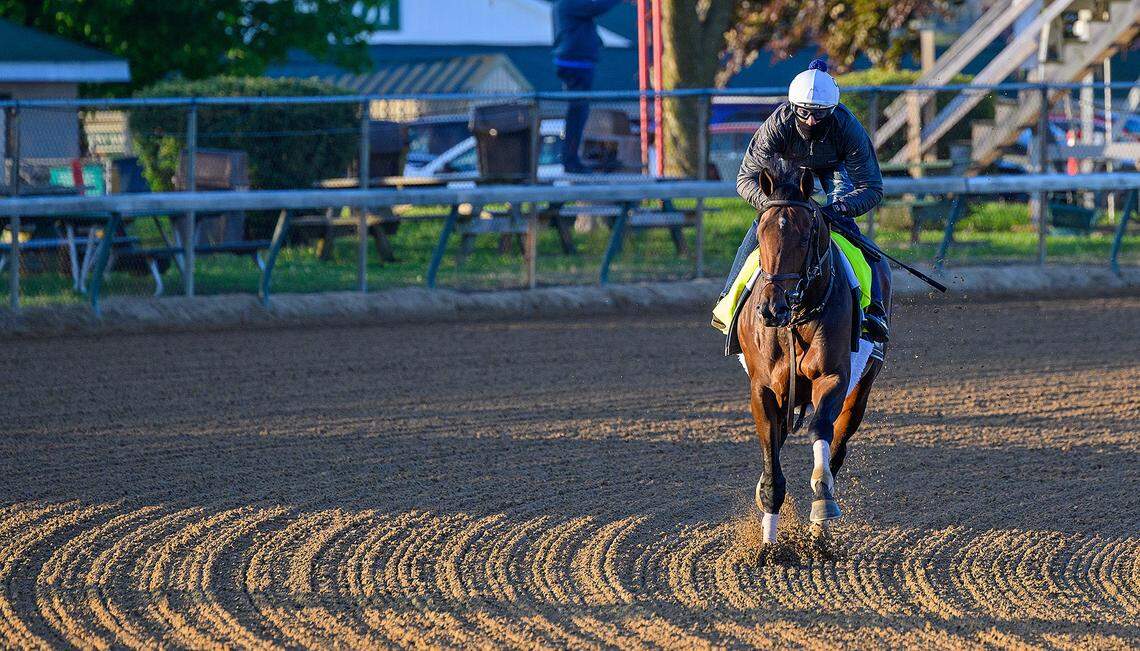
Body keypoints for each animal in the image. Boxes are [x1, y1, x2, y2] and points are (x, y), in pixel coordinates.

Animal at [736, 161, 891, 545]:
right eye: (761, 233)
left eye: (805, 237)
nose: (771, 309)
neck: (796, 318)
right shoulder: (762, 389)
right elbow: (772, 468)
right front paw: (768, 545)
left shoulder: (833, 376)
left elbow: (820, 430)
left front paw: (822, 504)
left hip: (863, 386)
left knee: (839, 443)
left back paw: (820, 531)